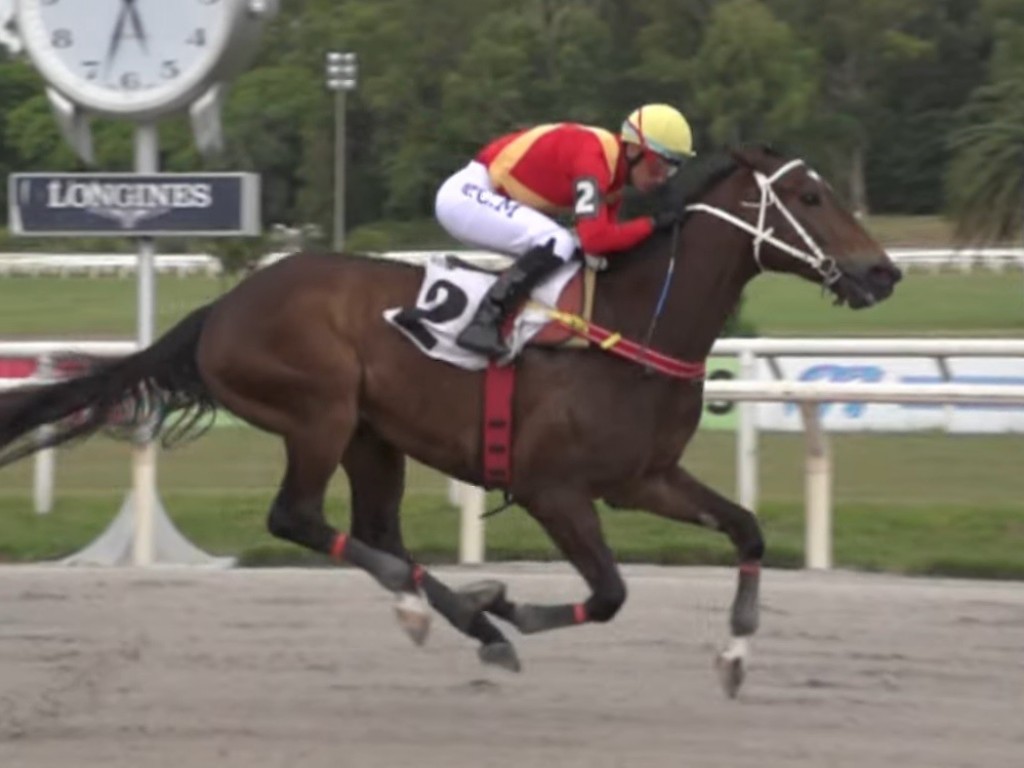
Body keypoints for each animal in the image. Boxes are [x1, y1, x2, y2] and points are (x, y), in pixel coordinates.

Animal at [0, 144, 897, 696]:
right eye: (810, 195)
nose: (882, 272)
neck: (636, 322)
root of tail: (223, 307)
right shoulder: (552, 489)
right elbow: (609, 592)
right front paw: (518, 610)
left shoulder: (645, 479)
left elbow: (747, 529)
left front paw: (736, 654)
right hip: (320, 412)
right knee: (298, 517)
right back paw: (449, 610)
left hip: (372, 435)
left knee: (377, 531)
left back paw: (466, 614)